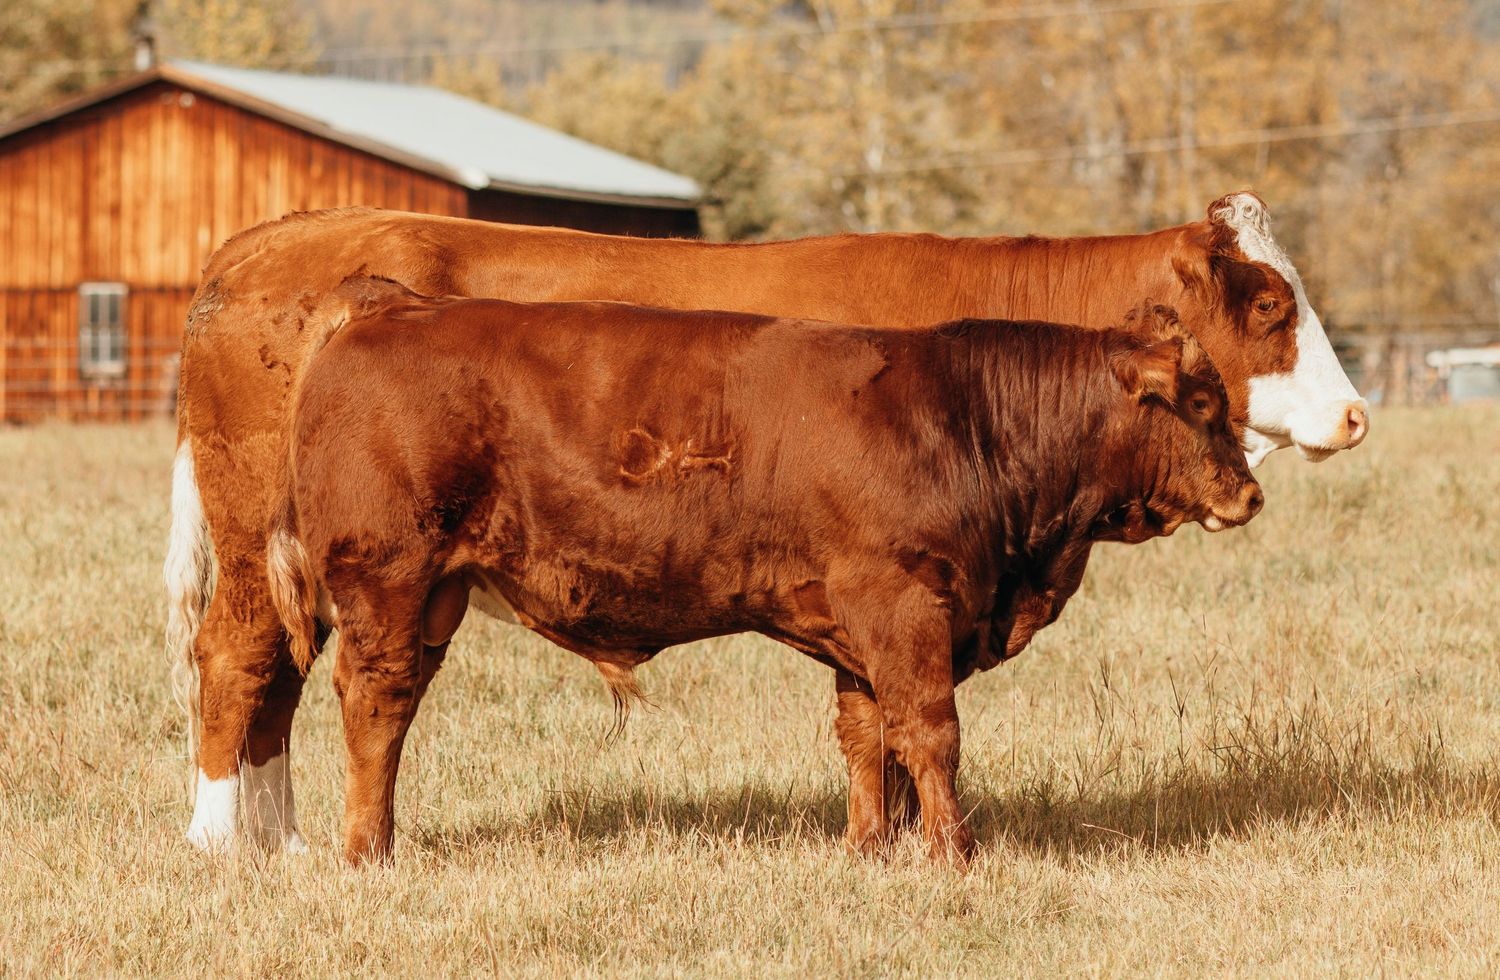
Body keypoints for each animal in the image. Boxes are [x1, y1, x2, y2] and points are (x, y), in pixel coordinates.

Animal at [169, 192, 1361, 853]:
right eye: (1271, 305)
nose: (1354, 415)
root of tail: (275, 253)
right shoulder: (902, 599)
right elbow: (915, 728)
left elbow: (871, 731)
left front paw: (881, 850)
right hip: (315, 562)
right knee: (247, 665)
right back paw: (230, 838)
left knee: (282, 679)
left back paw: (281, 838)